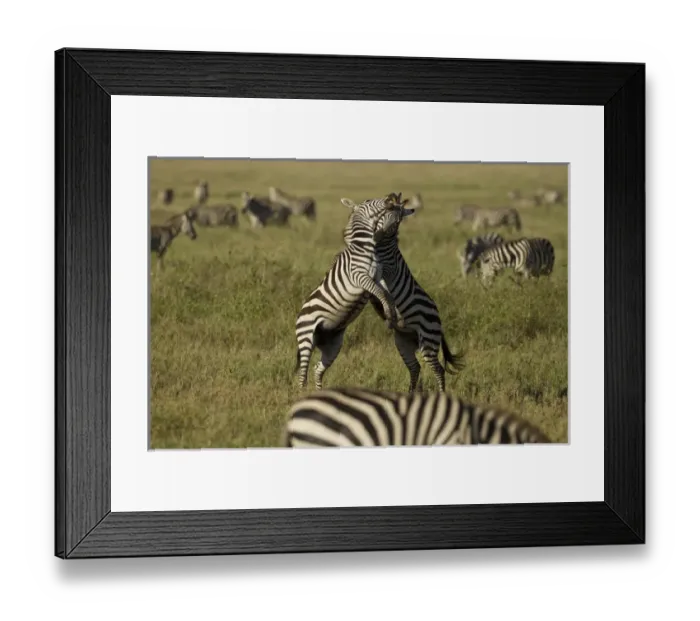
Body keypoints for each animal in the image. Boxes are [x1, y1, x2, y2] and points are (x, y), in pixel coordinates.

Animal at [294, 192, 414, 392]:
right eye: (369, 202)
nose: (390, 198)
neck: (365, 247)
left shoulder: (378, 276)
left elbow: (387, 294)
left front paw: (392, 315)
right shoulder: (360, 277)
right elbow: (380, 293)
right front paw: (389, 313)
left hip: (333, 344)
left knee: (318, 369)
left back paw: (319, 392)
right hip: (306, 337)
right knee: (303, 371)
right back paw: (302, 392)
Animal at [341, 195, 466, 393]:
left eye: (396, 218)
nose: (345, 233)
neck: (383, 248)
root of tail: (439, 320)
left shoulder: (388, 271)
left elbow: (383, 285)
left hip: (428, 340)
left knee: (438, 369)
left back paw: (440, 394)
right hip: (404, 342)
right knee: (415, 367)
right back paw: (410, 393)